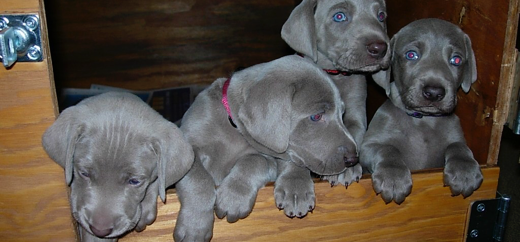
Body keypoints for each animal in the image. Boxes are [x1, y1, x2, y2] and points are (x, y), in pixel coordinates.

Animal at [174, 55, 358, 241]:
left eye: (342, 114)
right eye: (317, 116)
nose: (353, 159)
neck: (233, 126)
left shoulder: (269, 160)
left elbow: (255, 160)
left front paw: (234, 197)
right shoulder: (186, 151)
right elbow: (199, 178)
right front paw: (195, 227)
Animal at [282, 0, 392, 187]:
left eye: (381, 15)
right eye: (339, 16)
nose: (380, 48)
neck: (334, 74)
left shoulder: (356, 112)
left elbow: (352, 134)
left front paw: (346, 170)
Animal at [362, 18, 484, 204]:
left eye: (456, 60)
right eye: (411, 55)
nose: (433, 92)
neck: (423, 120)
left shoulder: (456, 137)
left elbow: (459, 147)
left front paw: (465, 172)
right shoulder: (369, 145)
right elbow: (388, 149)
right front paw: (393, 178)